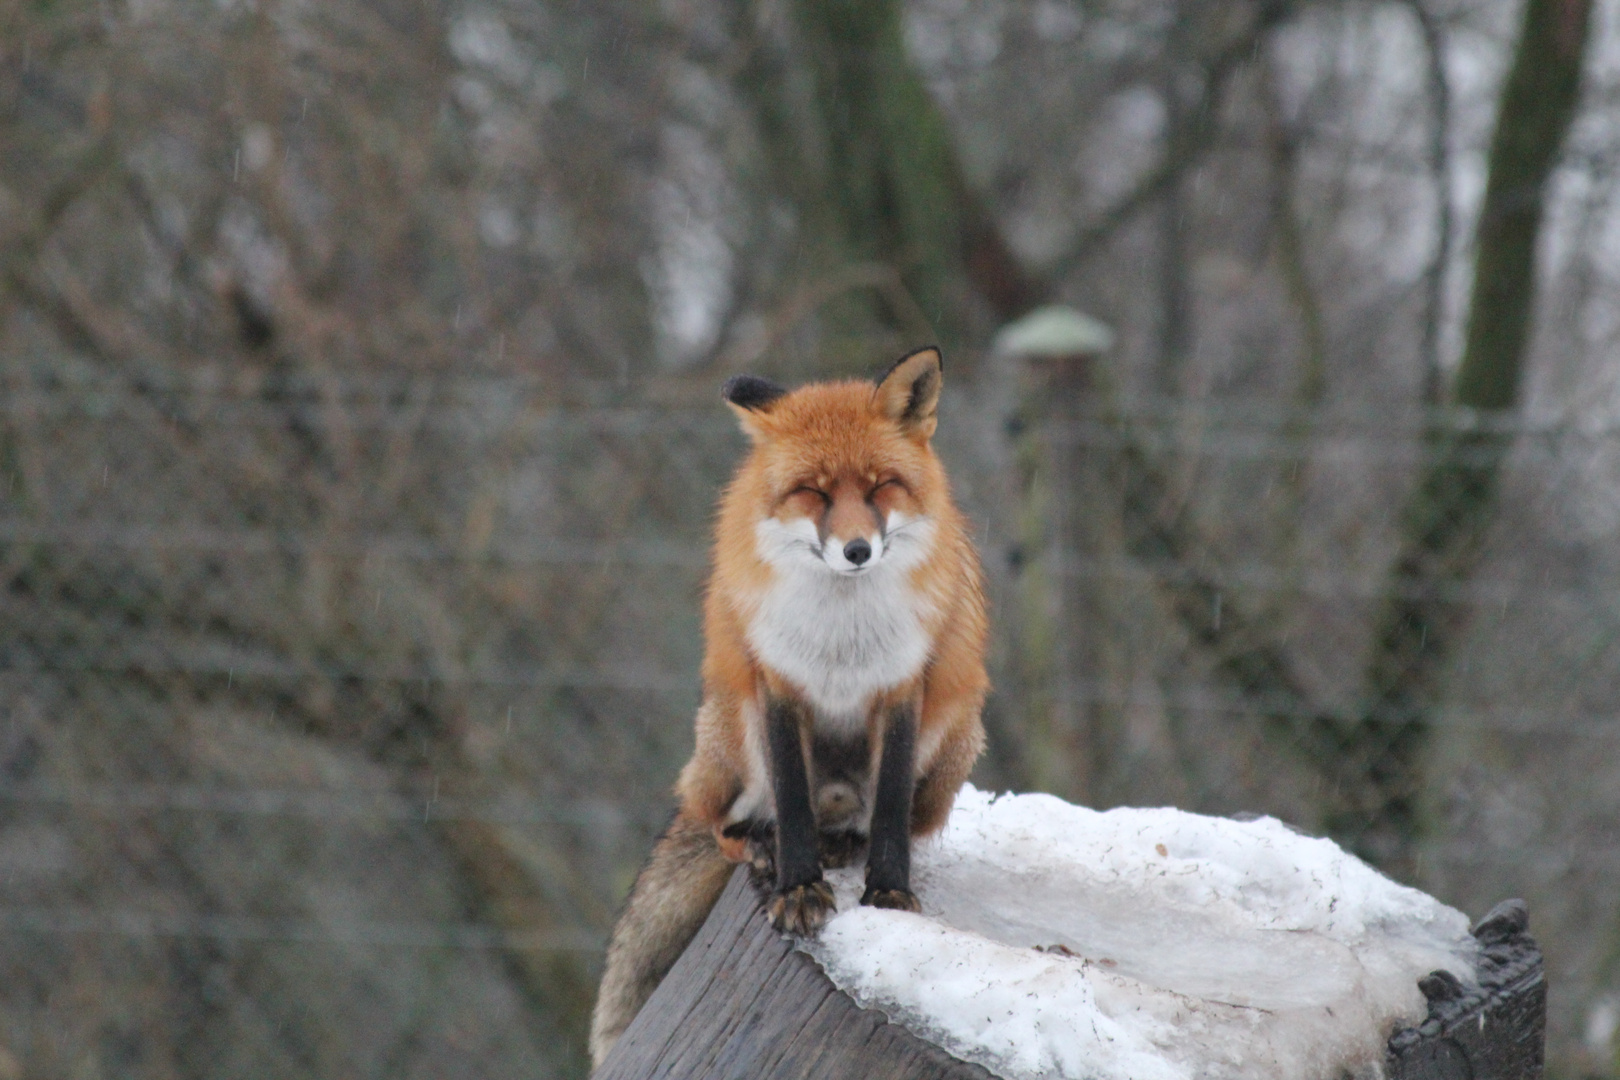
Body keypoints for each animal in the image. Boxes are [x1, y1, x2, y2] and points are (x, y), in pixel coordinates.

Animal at [586, 351, 984, 1068]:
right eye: (814, 492)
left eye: (881, 486)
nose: (857, 551)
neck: (843, 634)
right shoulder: (778, 684)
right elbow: (792, 798)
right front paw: (798, 888)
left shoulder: (902, 687)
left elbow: (889, 810)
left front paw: (889, 894)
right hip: (731, 733)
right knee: (719, 821)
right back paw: (761, 847)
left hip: (954, 737)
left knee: (878, 817)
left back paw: (843, 840)